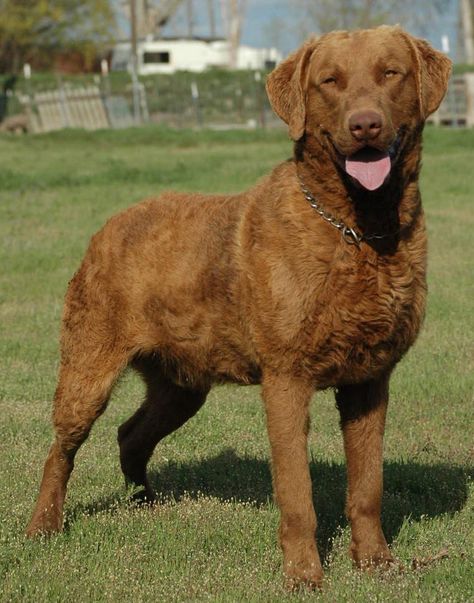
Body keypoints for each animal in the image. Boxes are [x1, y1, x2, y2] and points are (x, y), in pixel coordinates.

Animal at [27, 26, 450, 588]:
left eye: (390, 73)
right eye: (330, 81)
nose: (365, 124)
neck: (359, 230)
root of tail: (108, 225)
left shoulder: (370, 378)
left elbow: (368, 485)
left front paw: (376, 563)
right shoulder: (286, 377)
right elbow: (297, 492)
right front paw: (303, 576)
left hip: (182, 383)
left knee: (130, 433)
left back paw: (144, 503)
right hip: (88, 364)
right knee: (62, 448)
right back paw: (43, 526)